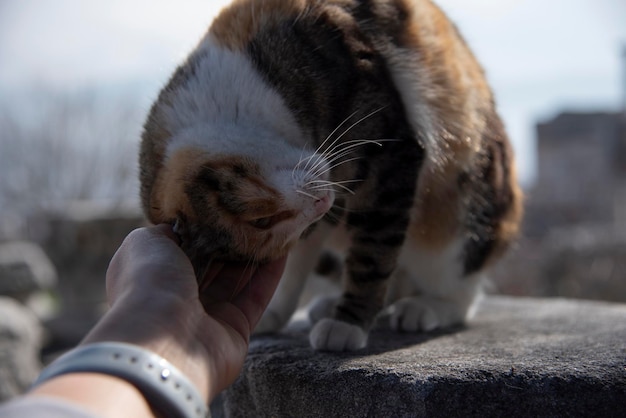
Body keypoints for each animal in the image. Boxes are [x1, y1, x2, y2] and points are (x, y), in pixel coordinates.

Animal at [140, 0, 520, 352]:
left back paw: (424, 308)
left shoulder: (389, 154)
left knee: (461, 289)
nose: (319, 205)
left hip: (463, 203)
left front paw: (348, 324)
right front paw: (277, 312)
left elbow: (373, 252)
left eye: (261, 220)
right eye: (269, 229)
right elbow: (298, 265)